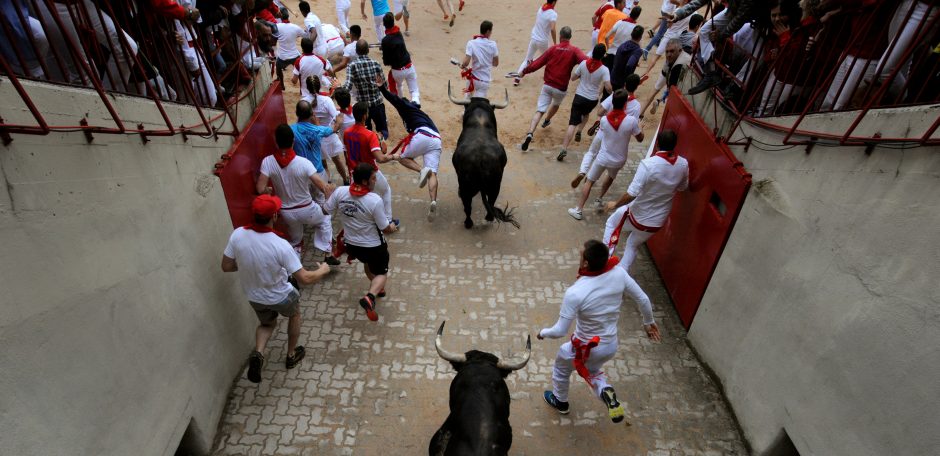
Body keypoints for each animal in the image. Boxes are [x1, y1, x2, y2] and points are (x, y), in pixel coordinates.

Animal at [448, 83, 520, 228]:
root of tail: (481, 160)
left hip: (466, 187)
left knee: (467, 207)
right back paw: (489, 219)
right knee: (491, 203)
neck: (480, 120)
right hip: (495, 185)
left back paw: (468, 223)